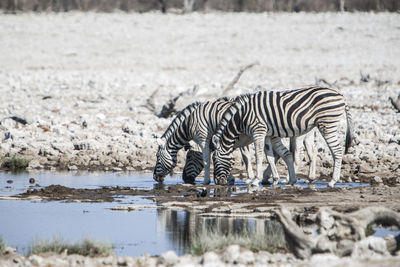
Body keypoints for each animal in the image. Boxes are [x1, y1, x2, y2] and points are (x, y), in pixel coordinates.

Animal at [212, 87, 354, 188]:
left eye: (215, 160)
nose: (218, 182)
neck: (241, 116)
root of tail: (341, 95)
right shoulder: (268, 134)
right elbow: (270, 156)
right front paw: (275, 179)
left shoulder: (258, 130)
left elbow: (259, 155)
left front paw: (256, 180)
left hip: (327, 124)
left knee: (337, 151)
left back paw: (333, 181)